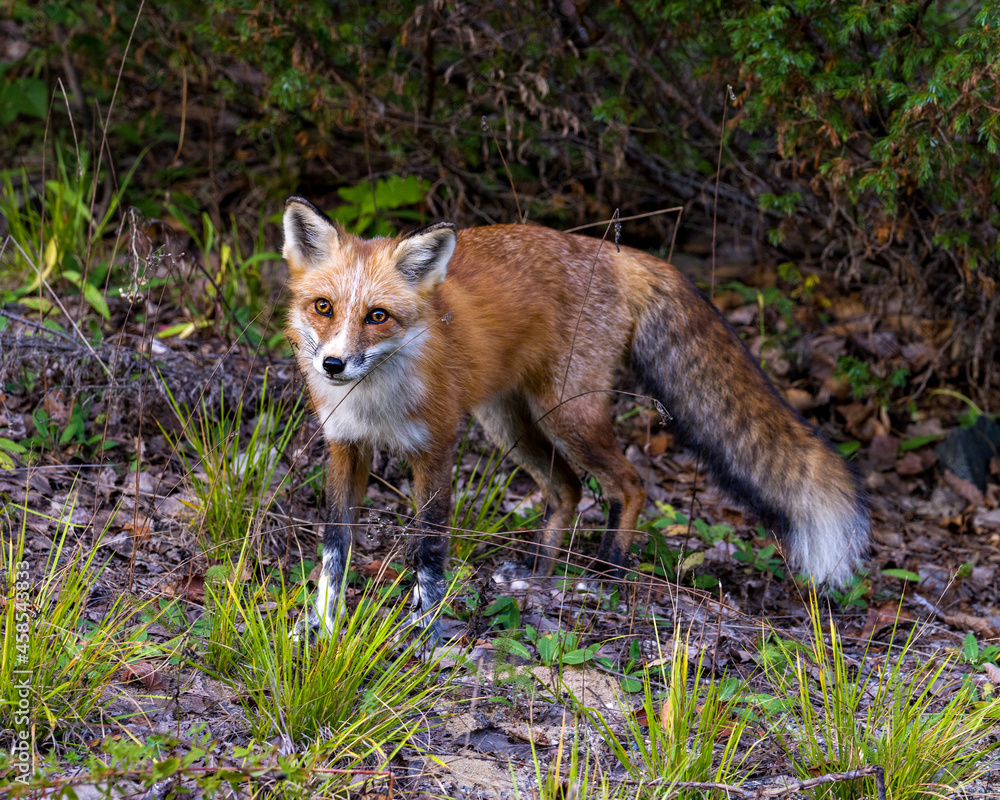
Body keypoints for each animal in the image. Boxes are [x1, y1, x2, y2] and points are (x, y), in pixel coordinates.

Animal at [282, 197, 868, 640]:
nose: (333, 364)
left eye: (377, 316)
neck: (374, 399)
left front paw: (422, 633)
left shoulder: (436, 448)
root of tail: (612, 250)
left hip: (568, 416)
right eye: (323, 307)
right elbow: (334, 548)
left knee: (629, 484)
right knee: (567, 488)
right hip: (509, 424)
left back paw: (606, 574)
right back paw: (539, 575)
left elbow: (428, 548)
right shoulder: (345, 446)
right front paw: (320, 628)